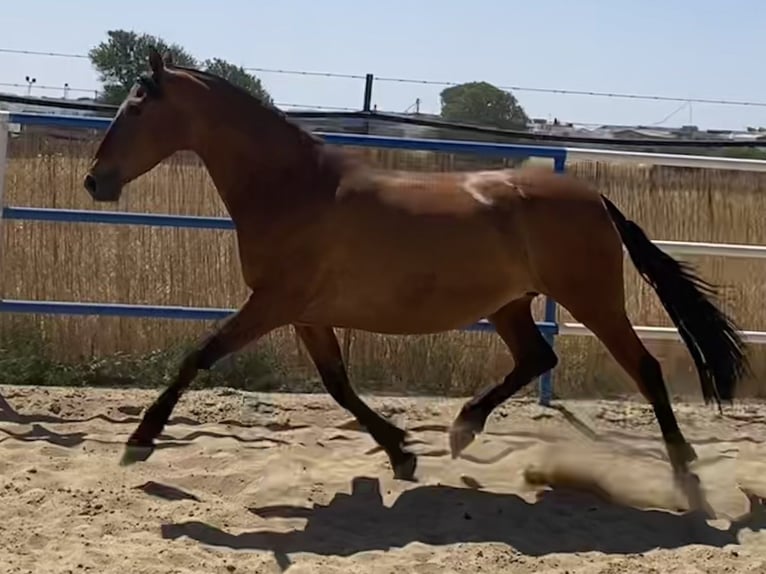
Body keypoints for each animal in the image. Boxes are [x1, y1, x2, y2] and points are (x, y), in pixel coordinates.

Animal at [82, 48, 752, 508]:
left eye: (137, 107)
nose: (95, 181)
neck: (295, 188)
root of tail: (595, 198)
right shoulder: (306, 313)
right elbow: (338, 386)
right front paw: (402, 453)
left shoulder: (274, 303)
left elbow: (199, 356)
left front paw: (138, 442)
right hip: (510, 303)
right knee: (537, 358)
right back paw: (462, 430)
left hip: (593, 300)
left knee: (644, 369)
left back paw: (685, 476)